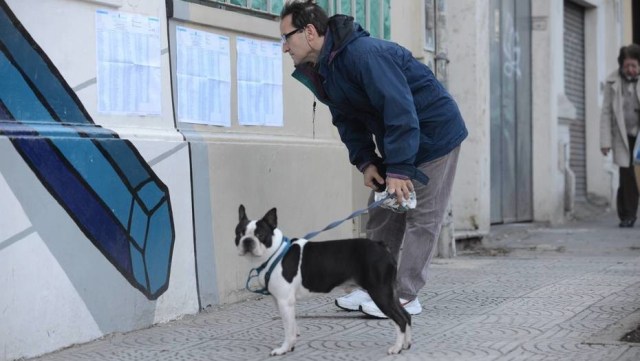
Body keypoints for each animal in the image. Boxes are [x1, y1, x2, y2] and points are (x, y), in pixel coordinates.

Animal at [235, 204, 410, 356]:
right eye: (239, 233)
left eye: (260, 235)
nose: (247, 241)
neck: (275, 252)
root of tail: (381, 246)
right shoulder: (280, 301)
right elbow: (292, 325)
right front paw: (291, 345)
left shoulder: (284, 301)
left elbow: (287, 329)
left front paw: (283, 349)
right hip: (390, 292)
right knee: (406, 315)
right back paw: (406, 344)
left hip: (379, 292)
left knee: (400, 319)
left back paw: (396, 348)